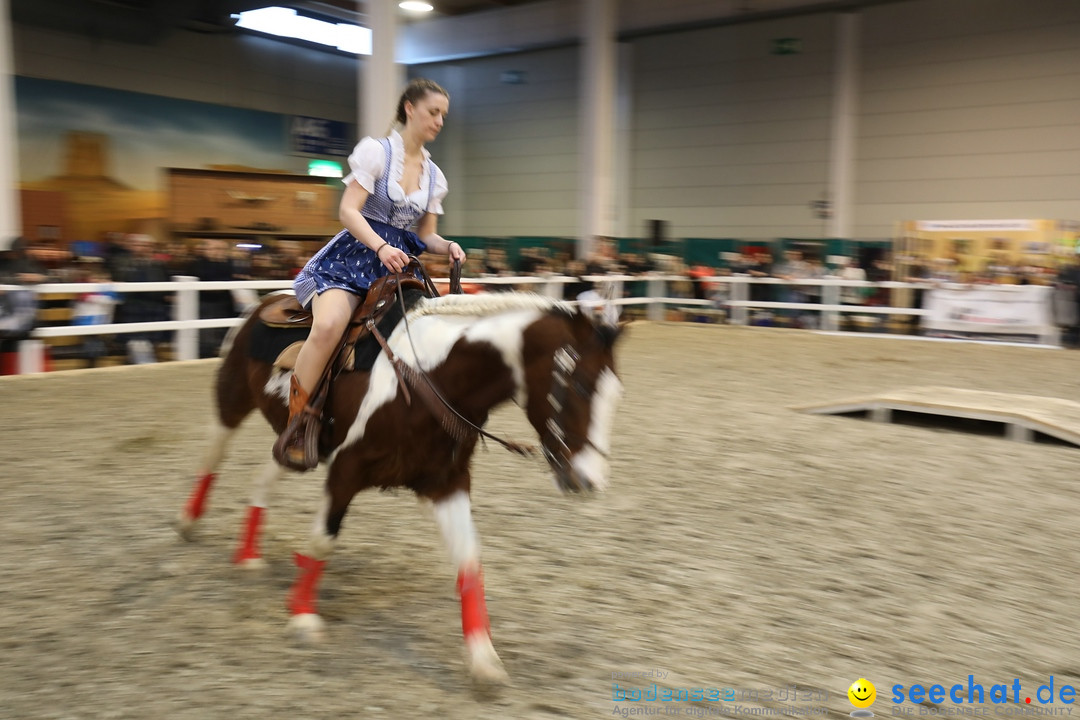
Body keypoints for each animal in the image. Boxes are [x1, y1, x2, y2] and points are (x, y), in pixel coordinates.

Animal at [172, 291, 622, 682]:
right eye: (581, 386)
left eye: (615, 392)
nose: (588, 480)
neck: (433, 376)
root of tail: (262, 302)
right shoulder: (346, 469)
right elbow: (323, 539)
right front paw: (301, 615)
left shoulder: (446, 483)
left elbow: (469, 561)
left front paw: (483, 658)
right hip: (231, 400)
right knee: (212, 457)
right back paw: (189, 522)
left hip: (292, 442)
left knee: (262, 479)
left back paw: (248, 555)